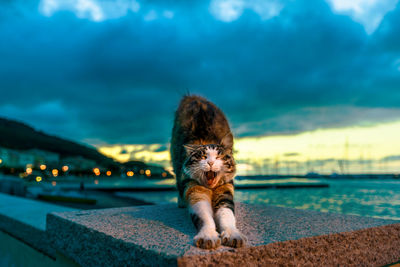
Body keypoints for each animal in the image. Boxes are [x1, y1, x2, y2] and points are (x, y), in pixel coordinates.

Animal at [170, 95, 245, 250]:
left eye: (218, 157)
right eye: (203, 157)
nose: (210, 162)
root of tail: (192, 96)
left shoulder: (225, 190)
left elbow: (227, 214)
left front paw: (232, 234)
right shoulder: (193, 188)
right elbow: (203, 216)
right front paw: (208, 236)